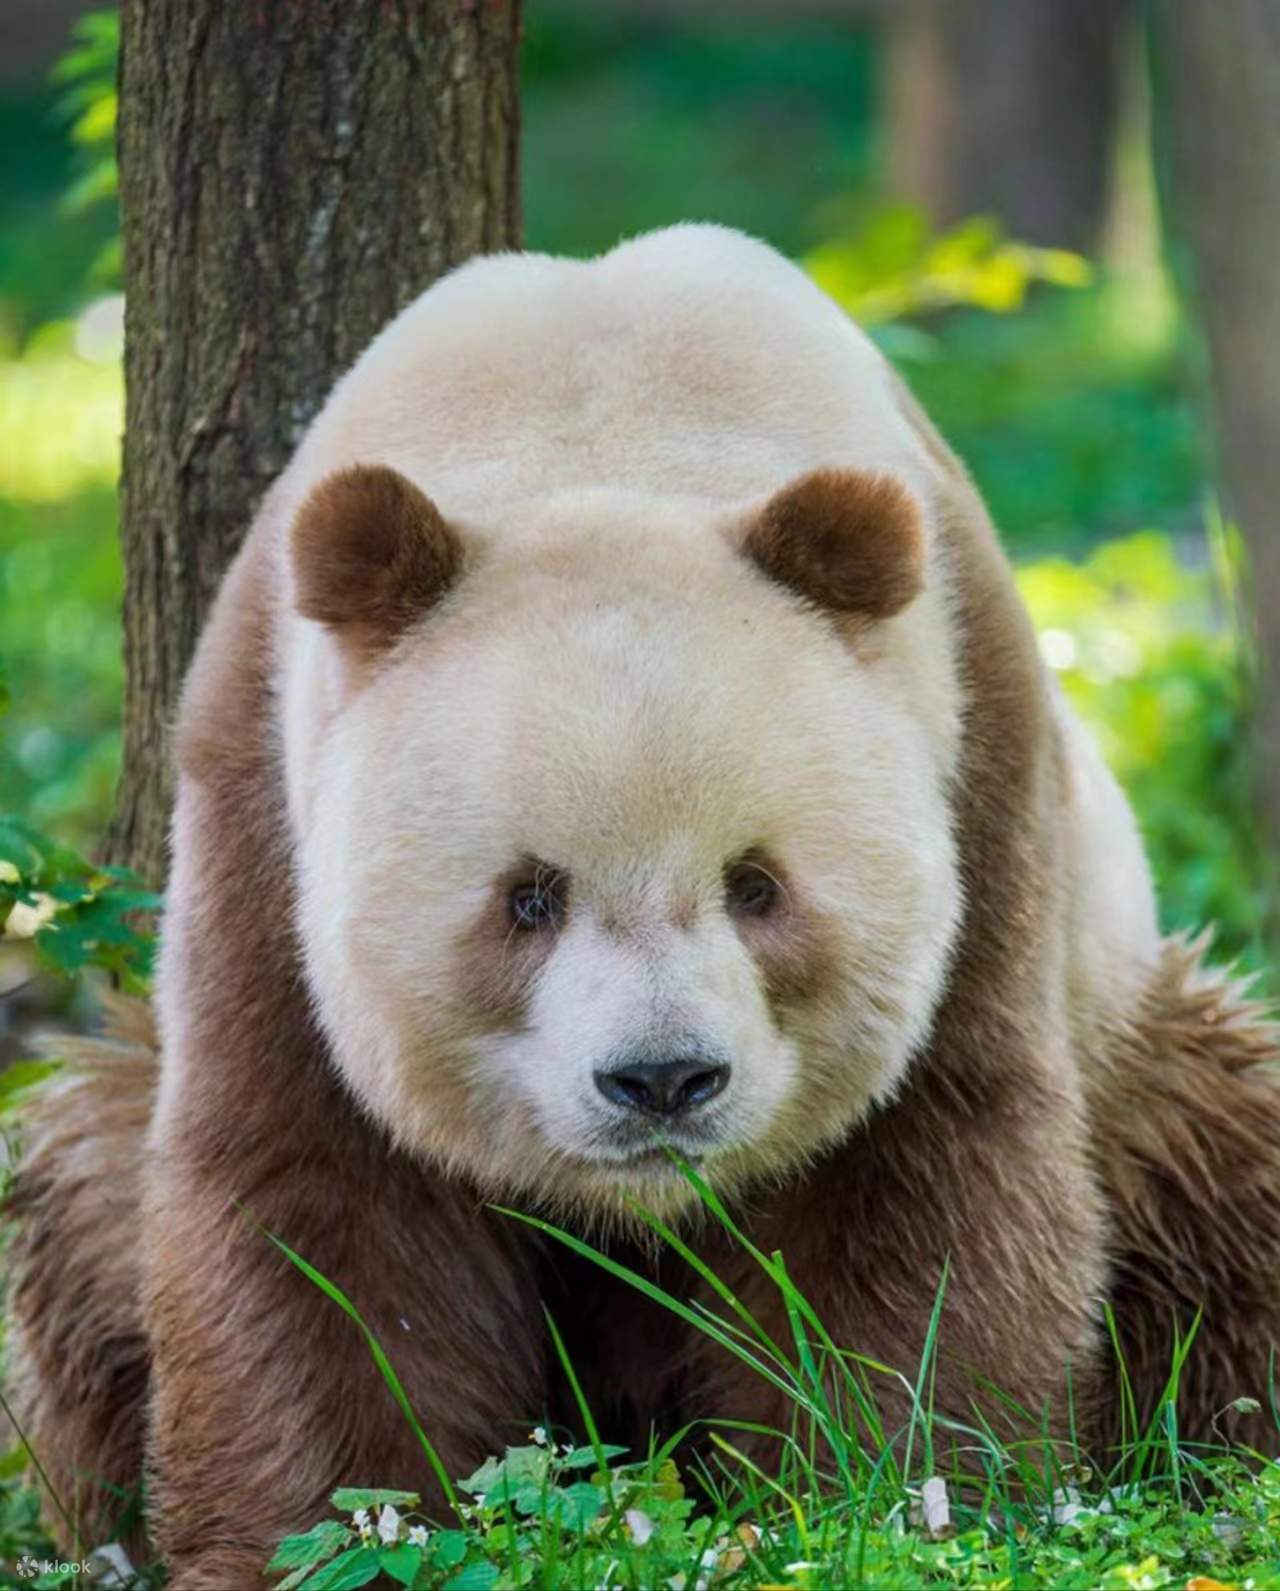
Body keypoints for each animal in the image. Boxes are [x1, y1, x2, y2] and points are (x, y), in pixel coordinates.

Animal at [7, 224, 1280, 1587]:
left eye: (755, 883)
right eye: (526, 898)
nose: (662, 1080)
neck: (609, 416)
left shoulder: (980, 780)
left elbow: (921, 1175)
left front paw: (889, 1503)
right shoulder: (257, 802)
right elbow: (317, 1202)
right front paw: (330, 1531)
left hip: (1131, 1034)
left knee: (1223, 1178)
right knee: (81, 1197)